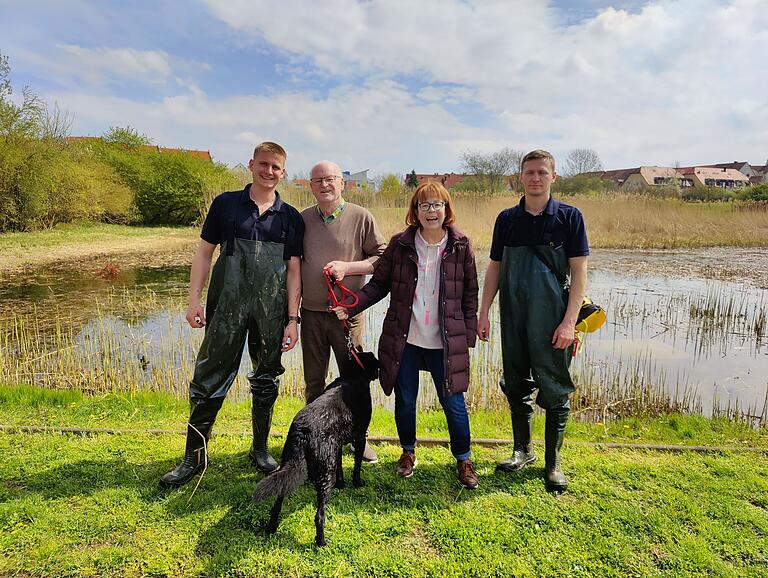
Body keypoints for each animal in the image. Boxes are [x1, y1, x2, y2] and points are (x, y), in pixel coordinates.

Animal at [252, 352, 378, 544]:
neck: (354, 376)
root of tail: (303, 431)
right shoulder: (360, 435)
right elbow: (357, 464)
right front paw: (357, 482)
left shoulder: (336, 447)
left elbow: (341, 466)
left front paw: (342, 484)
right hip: (326, 472)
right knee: (319, 515)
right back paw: (321, 542)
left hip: (294, 462)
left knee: (279, 496)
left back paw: (271, 528)